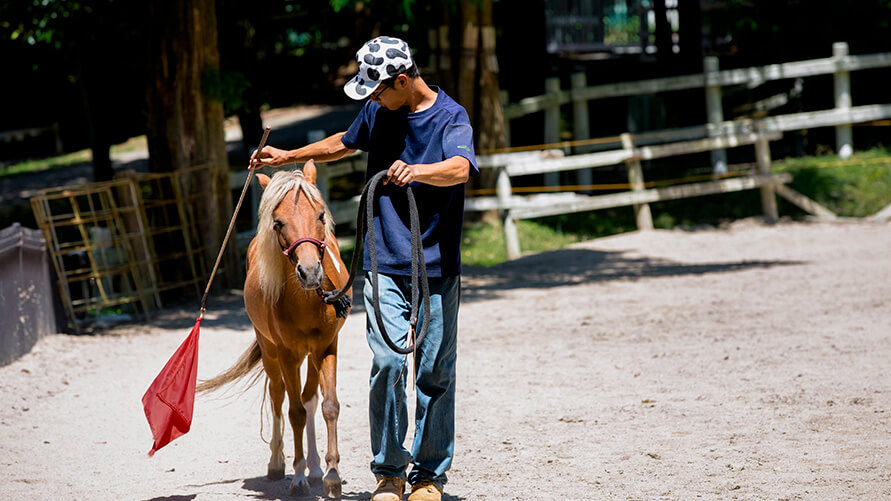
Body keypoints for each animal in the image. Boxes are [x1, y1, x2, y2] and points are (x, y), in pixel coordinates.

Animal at [197, 161, 350, 497]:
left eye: (321, 215)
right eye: (278, 222)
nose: (310, 272)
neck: (306, 300)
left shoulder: (327, 346)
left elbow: (329, 406)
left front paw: (331, 474)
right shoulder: (287, 354)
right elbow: (294, 412)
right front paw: (298, 477)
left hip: (310, 355)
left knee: (309, 398)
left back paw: (316, 468)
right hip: (270, 350)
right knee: (279, 397)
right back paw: (278, 465)